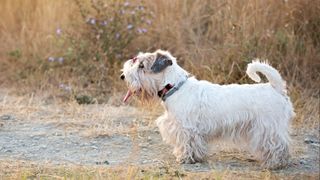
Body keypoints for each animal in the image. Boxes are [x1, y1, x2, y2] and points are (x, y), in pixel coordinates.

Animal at [120, 49, 296, 169]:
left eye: (141, 65)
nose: (122, 76)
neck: (174, 86)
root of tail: (275, 88)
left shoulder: (186, 128)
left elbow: (187, 143)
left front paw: (185, 158)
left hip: (269, 128)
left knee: (279, 145)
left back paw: (274, 163)